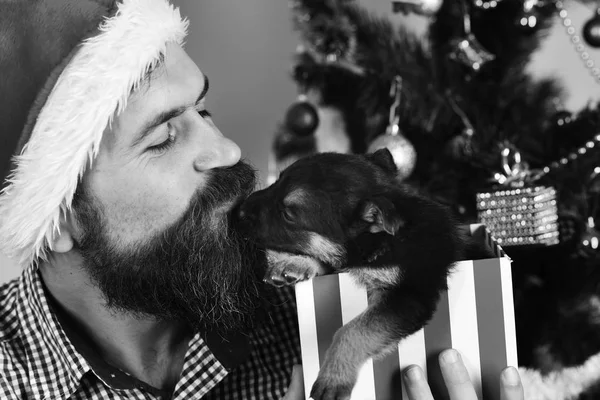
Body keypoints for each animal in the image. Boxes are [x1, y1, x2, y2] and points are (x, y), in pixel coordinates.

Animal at [239, 149, 468, 400]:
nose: (239, 210)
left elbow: (353, 330)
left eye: (288, 214)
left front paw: (333, 378)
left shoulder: (410, 297)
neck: (383, 242)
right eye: (277, 181)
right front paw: (294, 263)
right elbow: (329, 261)